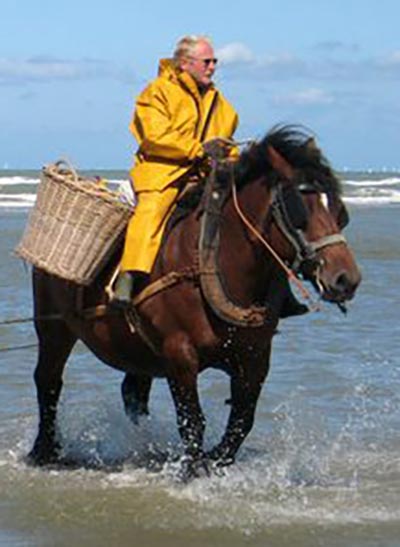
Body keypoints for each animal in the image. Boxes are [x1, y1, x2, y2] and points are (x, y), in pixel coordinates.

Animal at [27, 125, 360, 480]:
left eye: (340, 212)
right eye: (301, 209)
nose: (346, 279)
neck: (212, 263)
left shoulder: (255, 358)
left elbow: (241, 423)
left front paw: (214, 460)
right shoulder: (179, 354)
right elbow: (192, 422)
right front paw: (193, 469)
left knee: (133, 393)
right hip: (53, 328)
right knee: (48, 381)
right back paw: (45, 450)